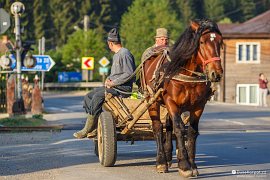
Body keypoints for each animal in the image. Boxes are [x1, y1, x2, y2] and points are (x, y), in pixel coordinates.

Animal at [143, 19, 224, 177]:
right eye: (202, 42)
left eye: (220, 41)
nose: (216, 73)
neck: (187, 74)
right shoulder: (171, 102)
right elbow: (179, 129)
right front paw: (185, 166)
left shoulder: (198, 106)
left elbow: (191, 131)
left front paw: (192, 164)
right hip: (153, 101)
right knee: (158, 127)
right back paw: (161, 161)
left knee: (168, 126)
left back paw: (168, 157)